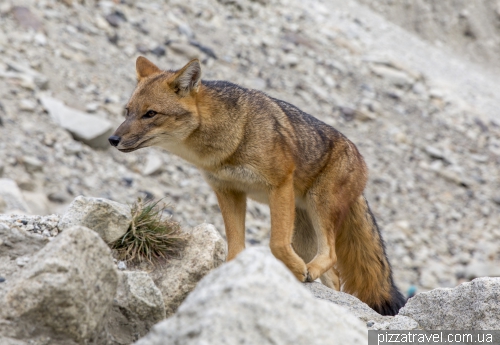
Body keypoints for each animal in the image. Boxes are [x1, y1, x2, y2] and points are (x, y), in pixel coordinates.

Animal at [109, 55, 406, 314]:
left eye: (150, 114)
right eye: (128, 111)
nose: (112, 139)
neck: (232, 137)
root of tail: (360, 160)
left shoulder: (280, 184)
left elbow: (276, 244)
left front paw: (296, 270)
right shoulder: (228, 191)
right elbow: (235, 247)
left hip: (319, 207)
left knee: (331, 255)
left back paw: (308, 271)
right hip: (304, 231)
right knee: (334, 274)